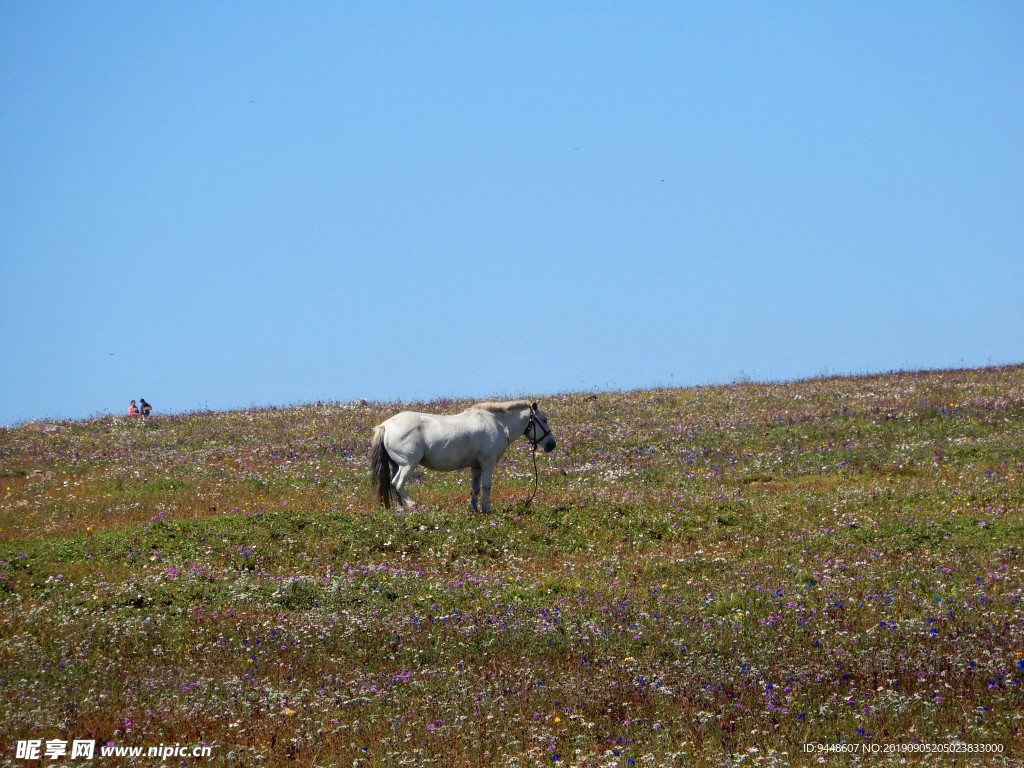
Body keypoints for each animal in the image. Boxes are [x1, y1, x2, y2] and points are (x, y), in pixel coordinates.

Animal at [370, 403, 557, 512]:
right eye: (544, 420)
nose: (551, 444)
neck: (496, 423)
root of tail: (385, 425)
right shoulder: (487, 463)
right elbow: (486, 486)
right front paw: (487, 509)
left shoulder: (476, 466)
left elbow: (475, 488)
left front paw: (474, 509)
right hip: (408, 465)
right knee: (397, 484)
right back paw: (413, 505)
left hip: (396, 465)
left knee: (393, 486)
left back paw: (400, 510)